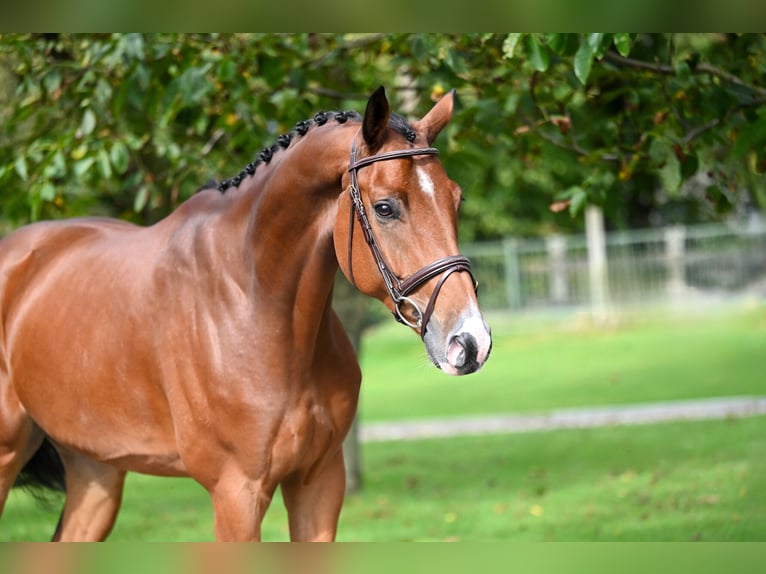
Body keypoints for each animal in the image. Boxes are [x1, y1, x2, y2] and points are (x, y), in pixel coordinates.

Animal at [0, 88, 492, 544]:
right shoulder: (237, 493)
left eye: (457, 200)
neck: (255, 302)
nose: (470, 343)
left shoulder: (318, 483)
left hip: (95, 470)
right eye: (386, 207)